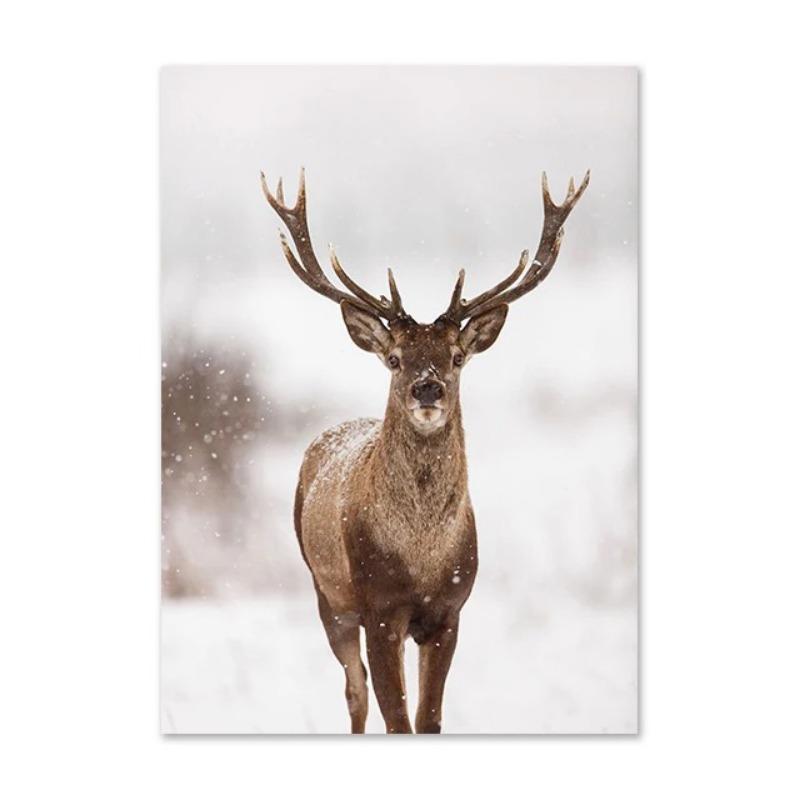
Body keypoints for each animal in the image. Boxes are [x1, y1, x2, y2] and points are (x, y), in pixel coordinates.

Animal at [260, 167, 589, 733]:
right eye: (394, 358)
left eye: (456, 356)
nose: (427, 388)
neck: (421, 557)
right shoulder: (379, 607)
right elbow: (397, 719)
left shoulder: (449, 610)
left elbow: (428, 718)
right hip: (326, 592)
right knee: (355, 693)